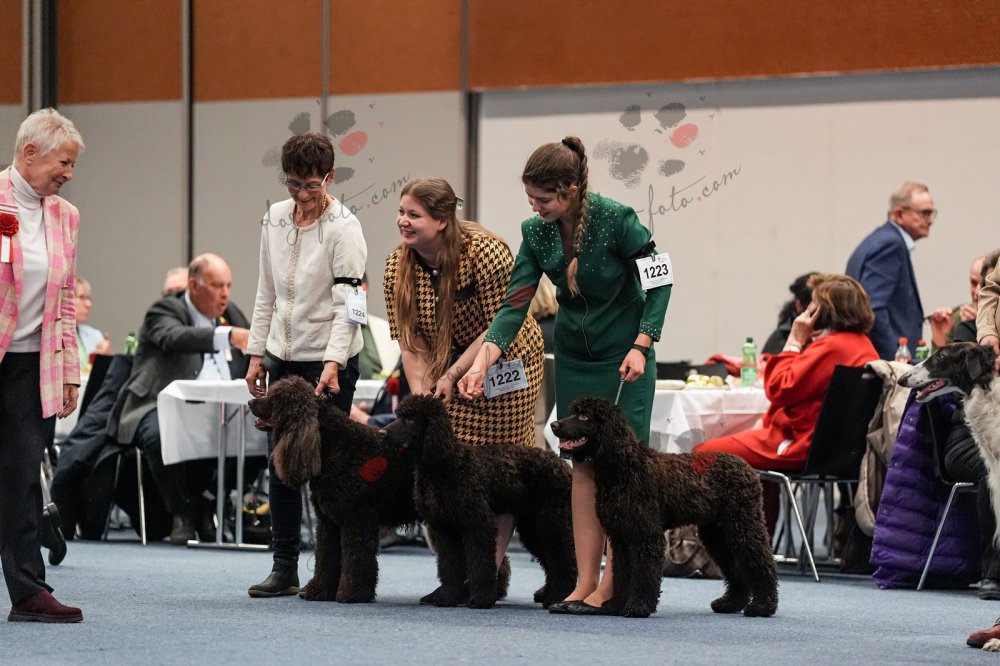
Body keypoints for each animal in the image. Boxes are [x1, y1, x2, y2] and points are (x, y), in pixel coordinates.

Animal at [249, 376, 419, 603]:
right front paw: (319, 590)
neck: (337, 446)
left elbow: (356, 558)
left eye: (277, 398)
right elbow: (326, 557)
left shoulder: (356, 519)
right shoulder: (328, 522)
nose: (250, 402)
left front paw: (352, 593)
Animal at [382, 394, 577, 609]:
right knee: (551, 561)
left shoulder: (477, 524)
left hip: (553, 523)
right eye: (399, 415)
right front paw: (448, 597)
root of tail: (563, 466)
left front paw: (481, 598)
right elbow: (450, 566)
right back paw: (548, 594)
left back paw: (558, 598)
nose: (382, 433)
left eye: (410, 419)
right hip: (533, 527)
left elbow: (480, 564)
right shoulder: (444, 528)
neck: (443, 465)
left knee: (565, 562)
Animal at [551, 397, 778, 618]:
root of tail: (745, 466)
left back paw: (762, 607)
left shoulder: (646, 536)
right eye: (574, 412)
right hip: (717, 533)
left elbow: (644, 574)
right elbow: (623, 574)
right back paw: (730, 604)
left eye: (584, 416)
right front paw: (615, 605)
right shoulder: (621, 537)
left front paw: (638, 608)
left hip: (744, 525)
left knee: (762, 563)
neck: (624, 469)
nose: (554, 424)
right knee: (736, 569)